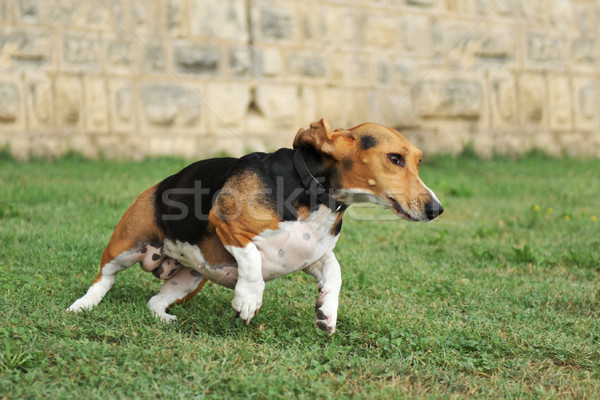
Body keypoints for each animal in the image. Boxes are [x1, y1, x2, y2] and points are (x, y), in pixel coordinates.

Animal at [68, 119, 442, 334]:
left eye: (419, 160)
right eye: (394, 158)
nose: (436, 209)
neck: (314, 191)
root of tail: (159, 185)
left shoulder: (312, 255)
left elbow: (334, 273)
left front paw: (327, 312)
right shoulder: (228, 224)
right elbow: (252, 260)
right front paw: (248, 300)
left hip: (189, 279)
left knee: (154, 302)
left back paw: (165, 319)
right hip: (126, 245)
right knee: (105, 278)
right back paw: (83, 306)